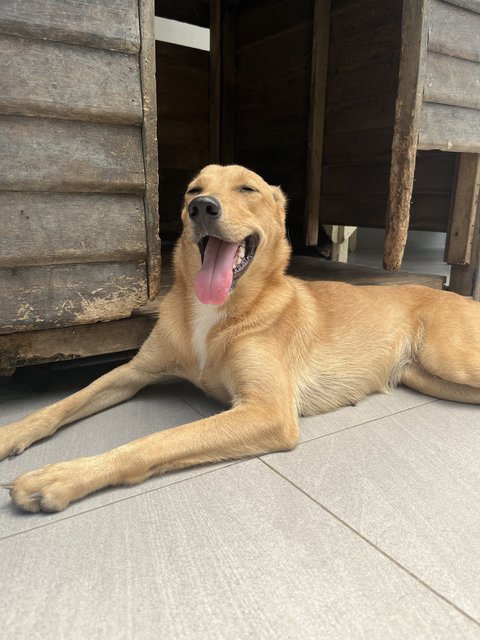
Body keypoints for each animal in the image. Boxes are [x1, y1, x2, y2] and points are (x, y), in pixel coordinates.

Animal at [0, 162, 480, 512]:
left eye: (248, 189)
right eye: (193, 190)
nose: (202, 208)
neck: (217, 313)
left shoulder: (267, 412)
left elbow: (157, 440)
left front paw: (63, 475)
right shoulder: (134, 372)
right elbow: (63, 404)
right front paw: (11, 434)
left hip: (448, 359)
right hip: (434, 378)